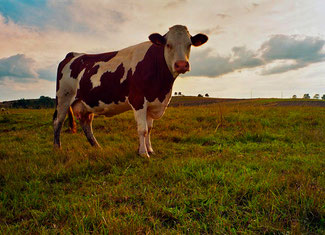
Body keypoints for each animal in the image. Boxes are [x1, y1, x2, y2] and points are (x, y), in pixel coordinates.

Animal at [52, 24, 206, 158]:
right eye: (168, 44)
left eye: (189, 44)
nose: (182, 65)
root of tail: (73, 55)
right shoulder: (138, 100)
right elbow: (142, 129)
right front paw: (143, 153)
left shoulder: (152, 103)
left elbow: (149, 128)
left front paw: (150, 150)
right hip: (63, 97)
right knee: (58, 121)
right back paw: (57, 148)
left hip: (86, 103)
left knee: (86, 124)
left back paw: (97, 147)